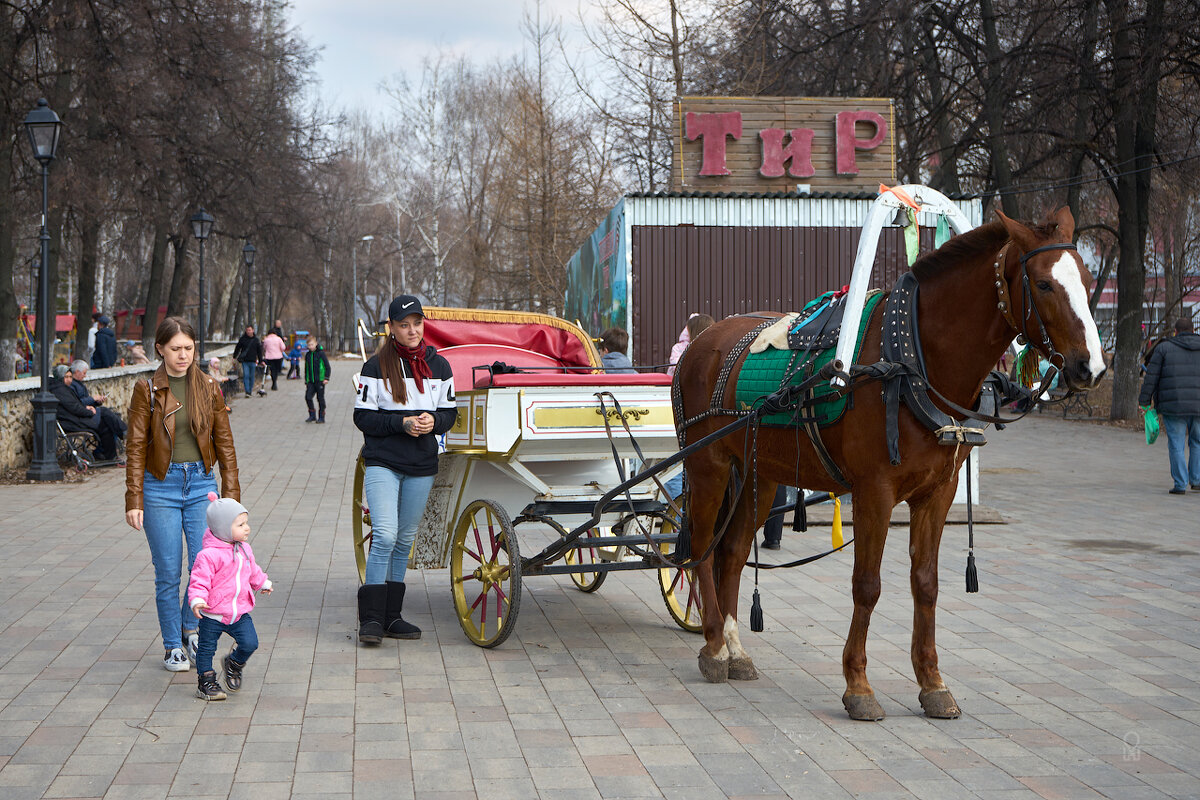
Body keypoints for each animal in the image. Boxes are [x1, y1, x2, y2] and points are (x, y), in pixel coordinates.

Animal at [676, 209, 1104, 724]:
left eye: (1087, 280)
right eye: (1043, 284)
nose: (1091, 368)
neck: (910, 360)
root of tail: (705, 339)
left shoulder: (938, 493)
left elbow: (926, 584)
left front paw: (932, 683)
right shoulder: (874, 491)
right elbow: (868, 585)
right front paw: (858, 685)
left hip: (762, 475)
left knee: (733, 552)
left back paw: (735, 647)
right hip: (709, 466)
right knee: (702, 549)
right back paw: (714, 645)